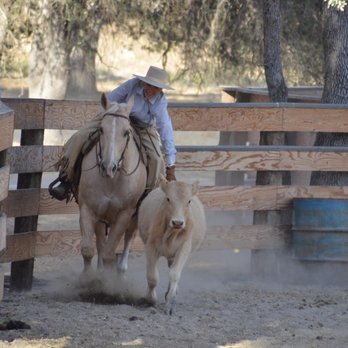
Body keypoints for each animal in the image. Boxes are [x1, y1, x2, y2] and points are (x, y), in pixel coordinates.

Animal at [78, 94, 146, 274]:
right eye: (101, 129)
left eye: (126, 132)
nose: (108, 167)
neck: (112, 181)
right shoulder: (88, 209)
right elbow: (88, 250)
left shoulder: (124, 214)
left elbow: (109, 254)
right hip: (101, 217)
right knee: (101, 243)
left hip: (134, 217)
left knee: (128, 238)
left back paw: (121, 269)